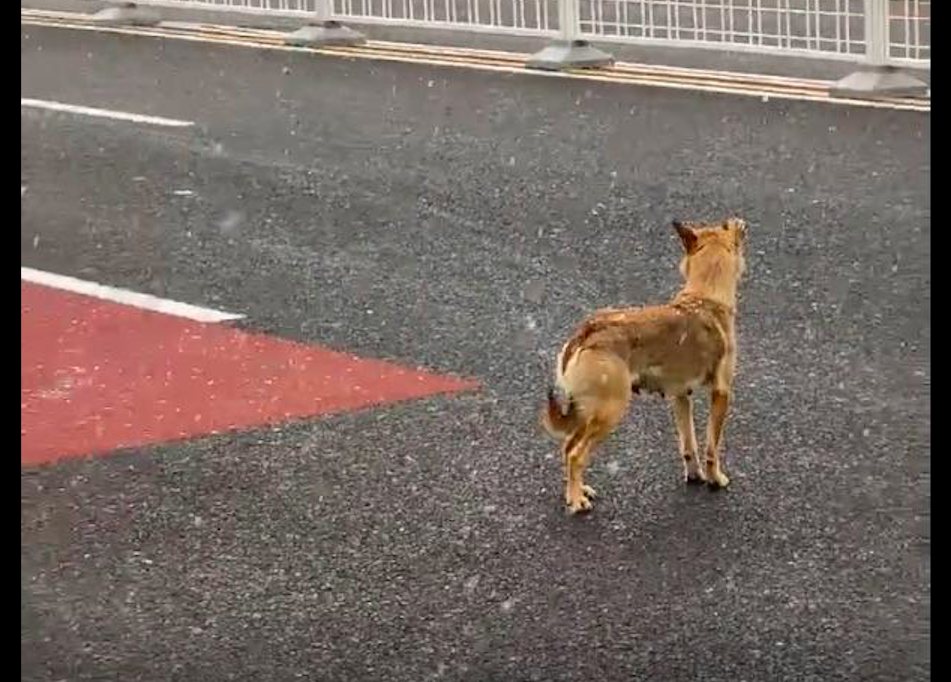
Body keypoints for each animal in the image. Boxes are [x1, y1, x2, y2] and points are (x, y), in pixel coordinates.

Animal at [540, 216, 748, 510]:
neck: (705, 296)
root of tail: (587, 332)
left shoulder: (680, 396)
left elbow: (689, 445)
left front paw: (694, 475)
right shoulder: (721, 393)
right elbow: (711, 447)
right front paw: (715, 479)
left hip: (587, 412)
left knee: (568, 447)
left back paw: (577, 491)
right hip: (610, 411)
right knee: (576, 455)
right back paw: (576, 501)